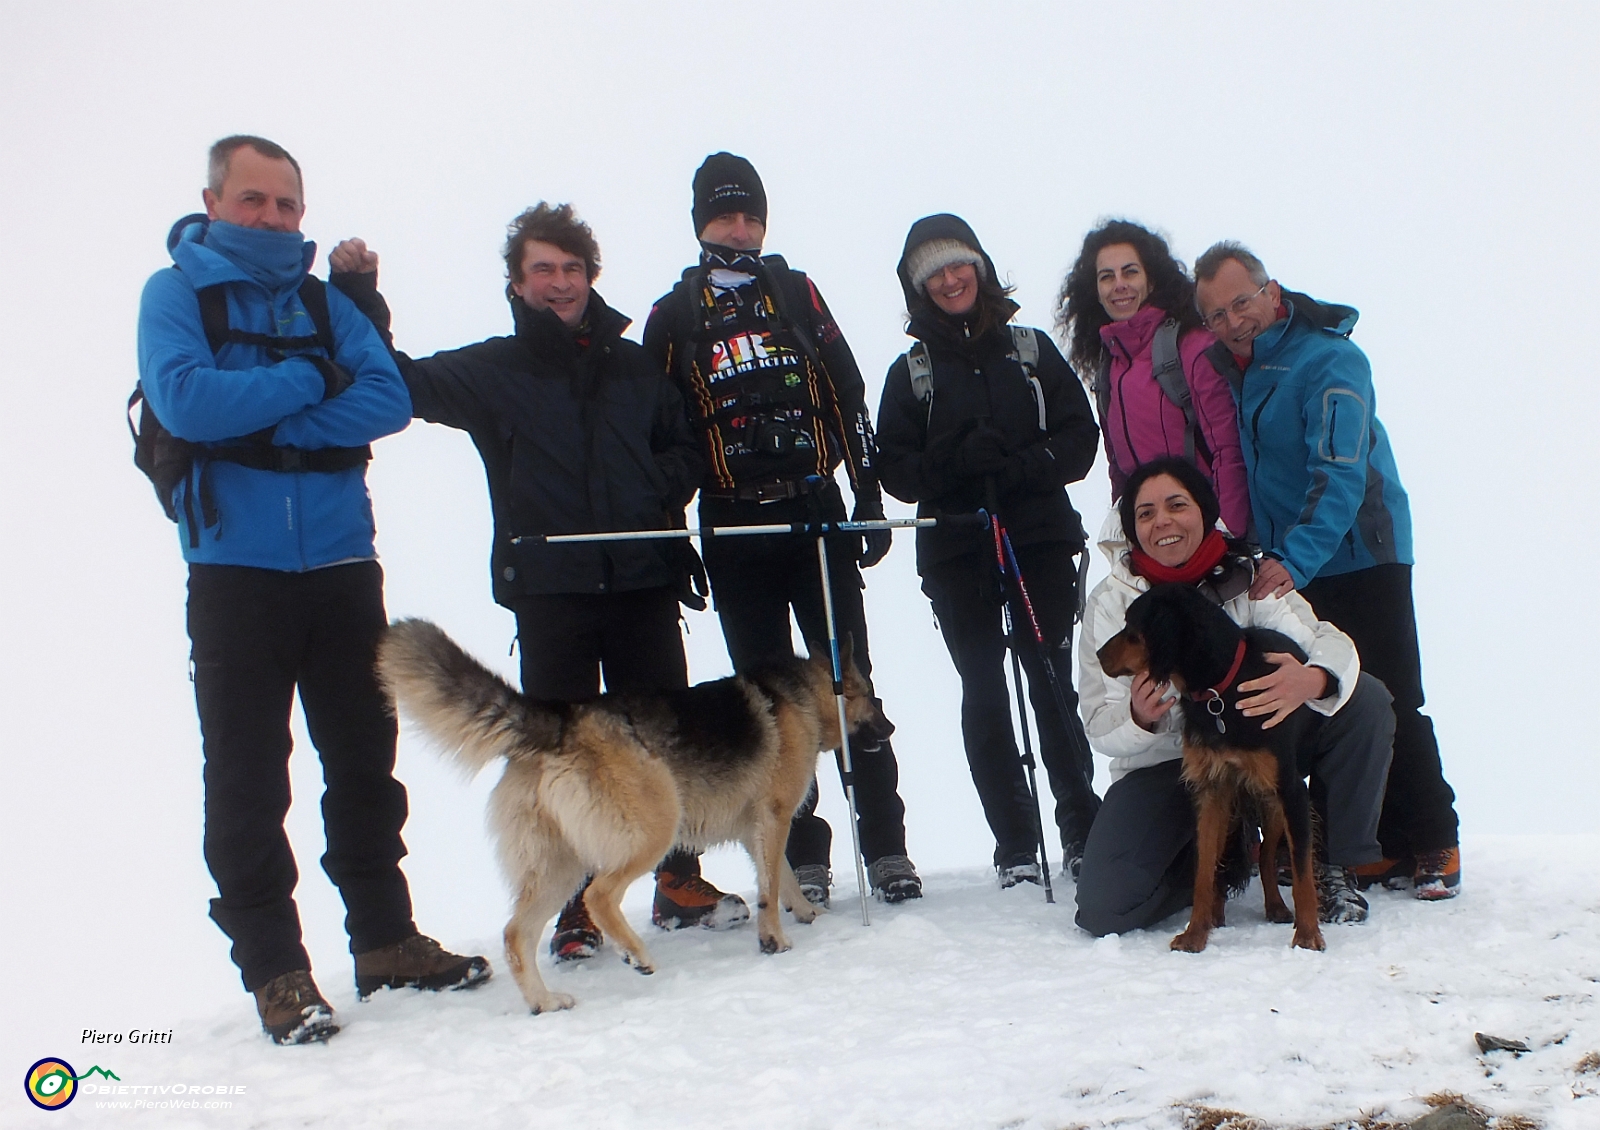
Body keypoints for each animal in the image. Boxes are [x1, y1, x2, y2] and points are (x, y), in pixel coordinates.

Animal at [380, 614, 896, 1011]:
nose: (891, 728)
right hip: (651, 832)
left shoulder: (759, 829)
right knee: (599, 897)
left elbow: (782, 877)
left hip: (559, 867)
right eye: (873, 695)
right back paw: (636, 955)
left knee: (515, 935)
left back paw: (544, 1002)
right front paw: (774, 940)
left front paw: (807, 913)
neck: (805, 695)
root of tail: (560, 722)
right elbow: (770, 888)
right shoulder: (774, 817)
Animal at [1088, 585, 1324, 947]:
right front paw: (1195, 933)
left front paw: (1308, 934)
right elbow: (1204, 869)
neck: (1220, 689)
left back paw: (1276, 906)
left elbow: (1301, 871)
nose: (1099, 654)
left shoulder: (1291, 789)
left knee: (1266, 856)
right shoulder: (1212, 790)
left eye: (1133, 626)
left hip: (1271, 801)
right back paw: (1219, 913)